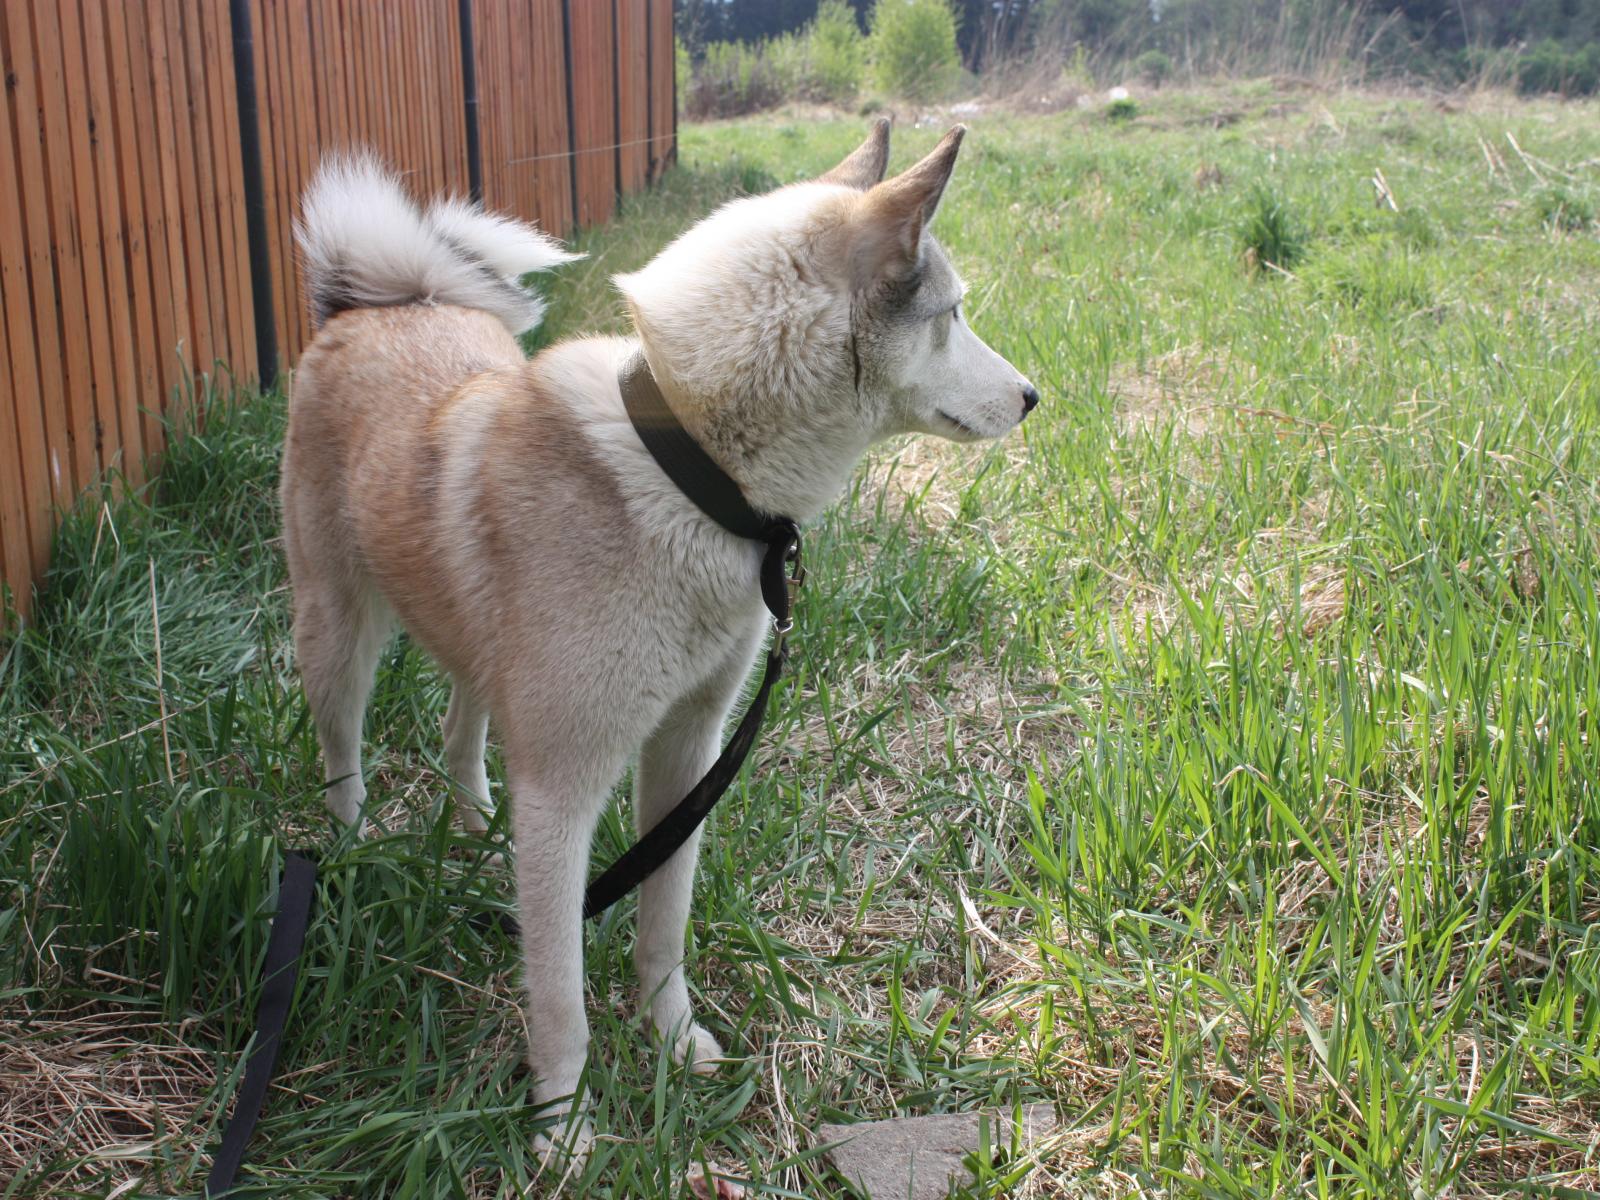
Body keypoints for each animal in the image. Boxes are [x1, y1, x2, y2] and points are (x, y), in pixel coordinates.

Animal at [281, 119, 1037, 1157]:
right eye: (952, 314)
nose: (1035, 396)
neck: (693, 467)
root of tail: (373, 307)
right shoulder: (564, 793)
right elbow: (559, 994)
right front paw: (562, 1129)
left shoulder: (689, 753)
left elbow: (662, 926)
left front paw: (672, 1042)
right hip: (338, 635)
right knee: (343, 756)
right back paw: (355, 850)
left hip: (472, 651)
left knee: (461, 725)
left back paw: (473, 830)